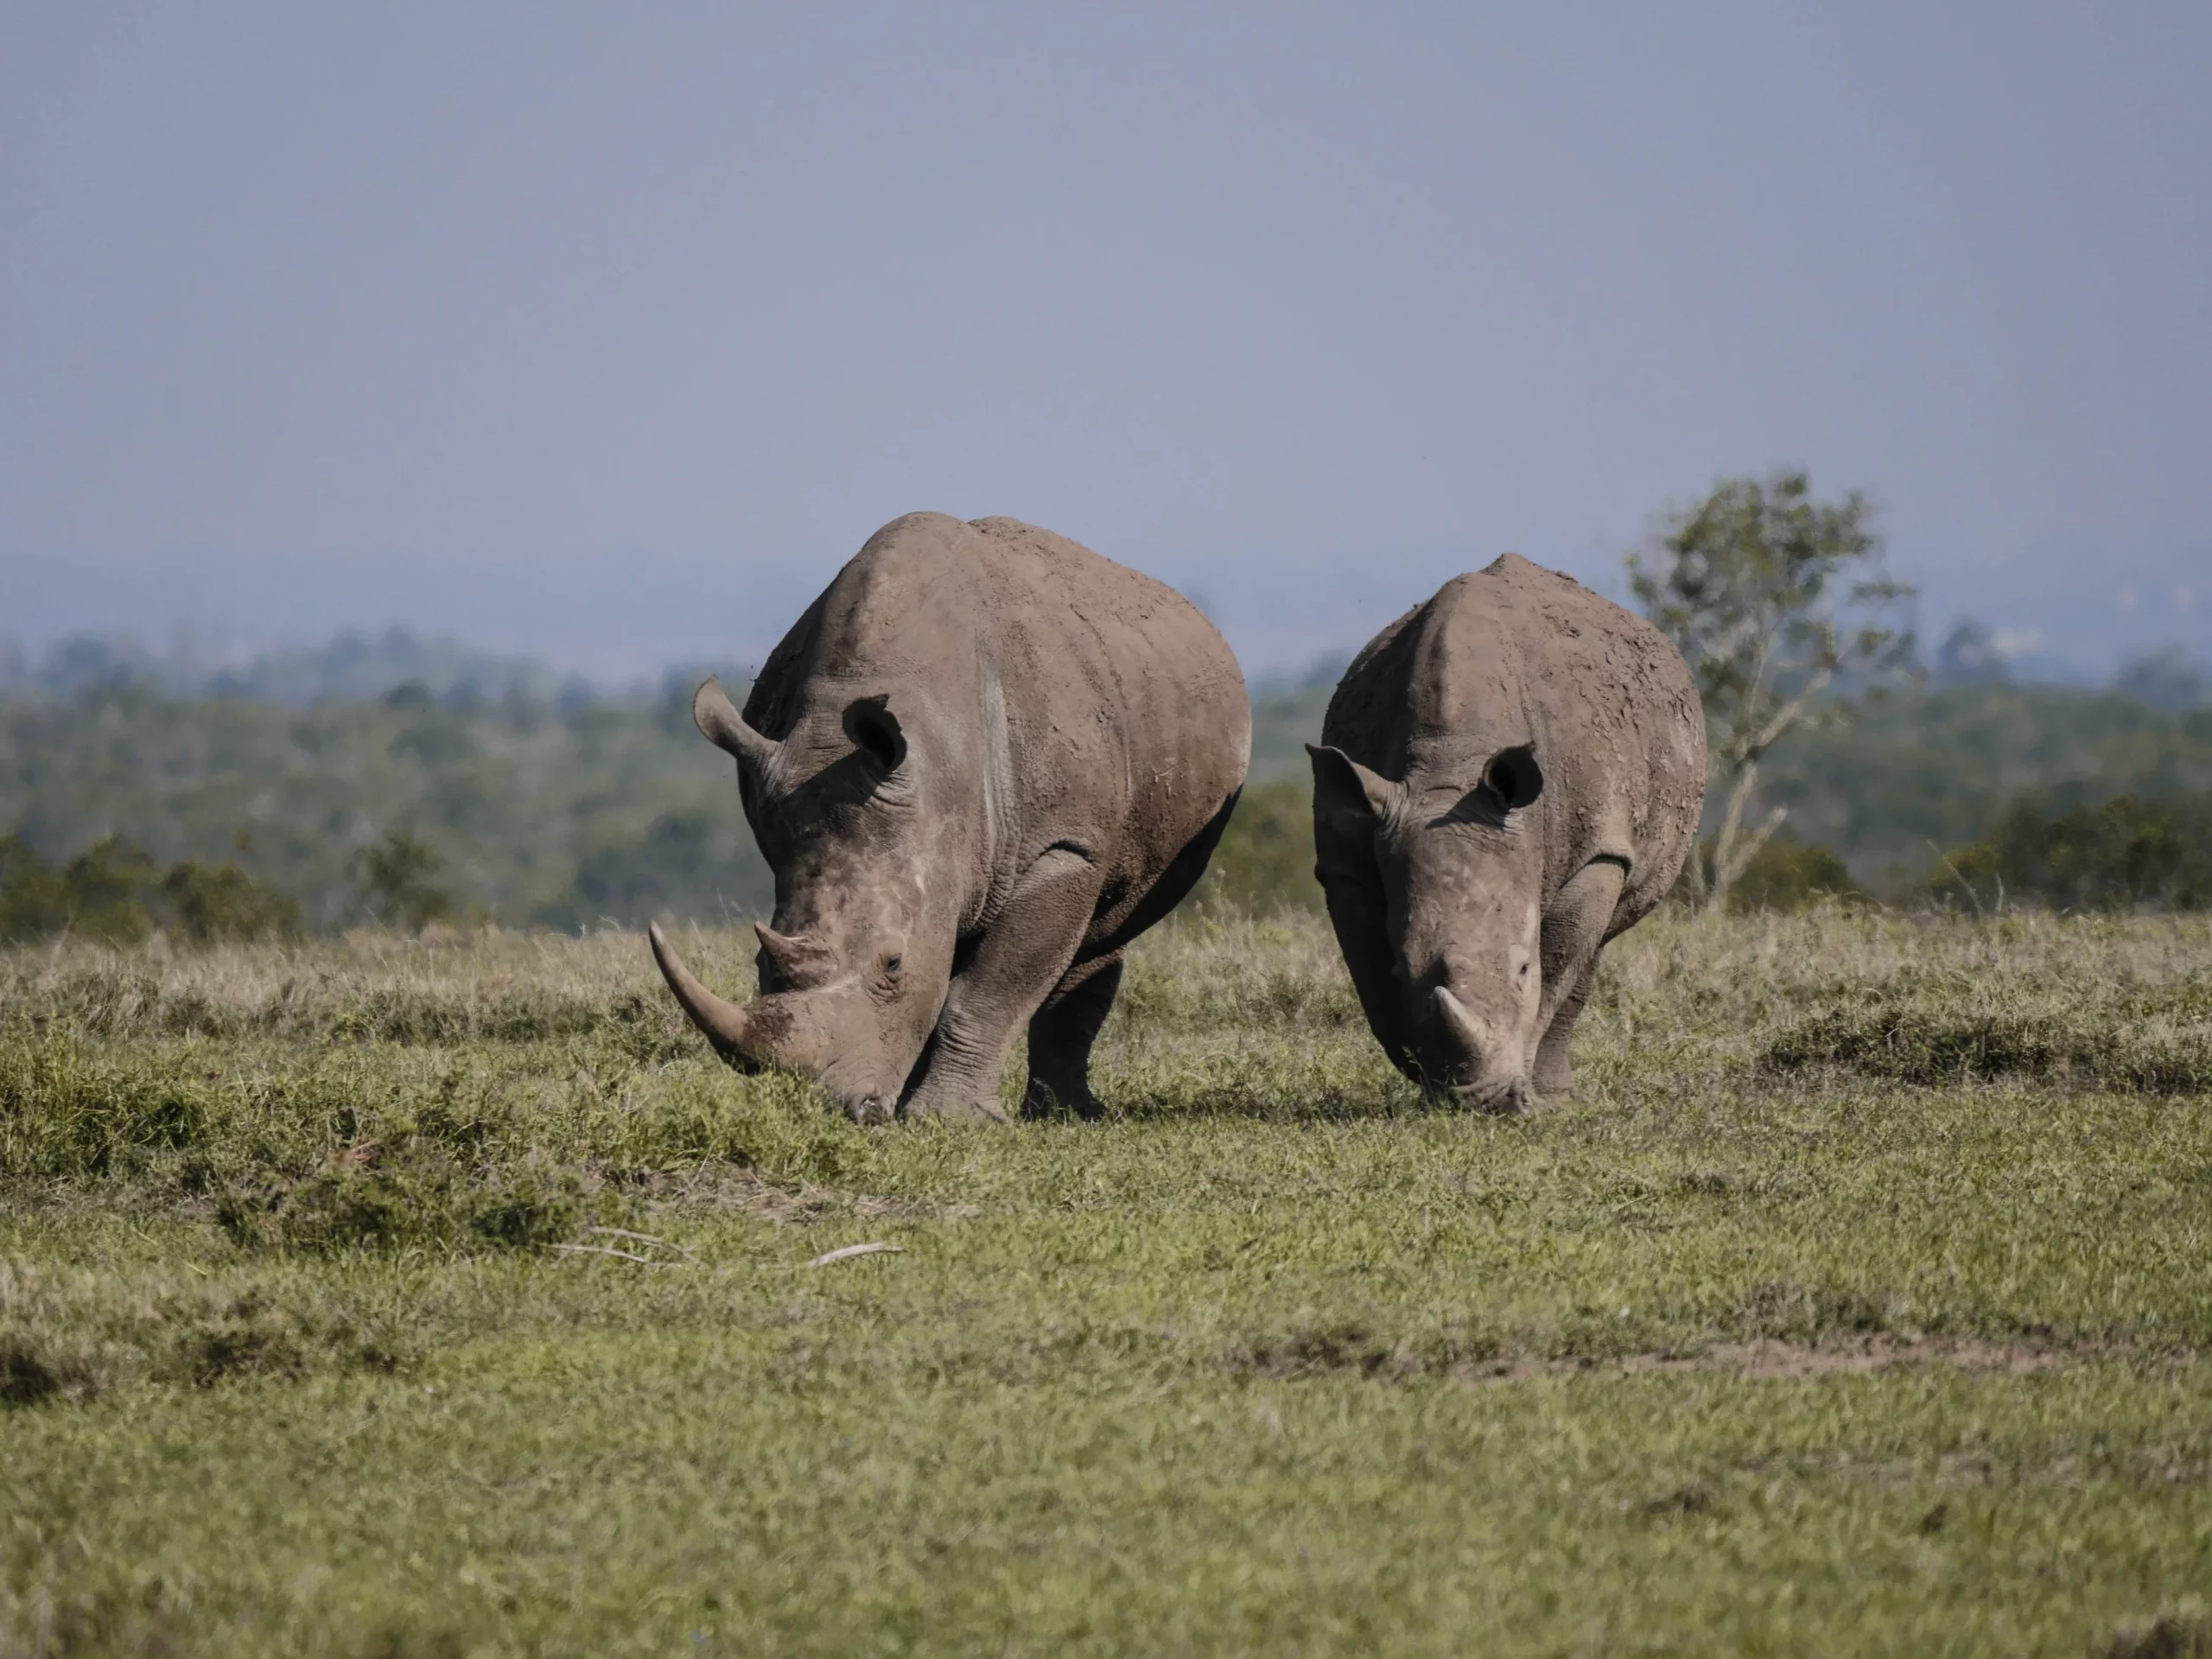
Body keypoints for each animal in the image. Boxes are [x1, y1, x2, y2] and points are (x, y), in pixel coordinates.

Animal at [645, 512, 1256, 1123]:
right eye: (759, 962)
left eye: (893, 964)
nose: (844, 1110)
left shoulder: (1063, 848)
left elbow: (988, 988)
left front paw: (949, 1119)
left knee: (1106, 929)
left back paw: (1067, 1115)